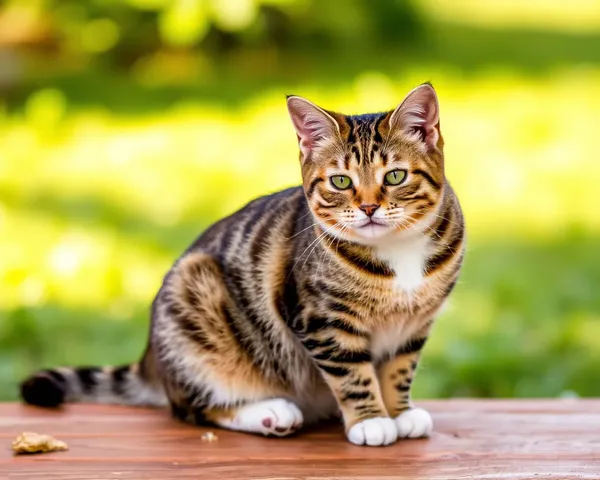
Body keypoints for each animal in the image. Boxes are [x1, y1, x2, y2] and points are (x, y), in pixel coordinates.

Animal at [21, 82, 464, 446]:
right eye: (340, 181)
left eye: (395, 176)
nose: (369, 207)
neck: (396, 252)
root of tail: (152, 364)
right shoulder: (321, 320)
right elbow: (353, 374)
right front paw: (371, 419)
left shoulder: (415, 324)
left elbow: (399, 368)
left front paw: (399, 412)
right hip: (194, 304)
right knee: (192, 407)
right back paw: (269, 412)